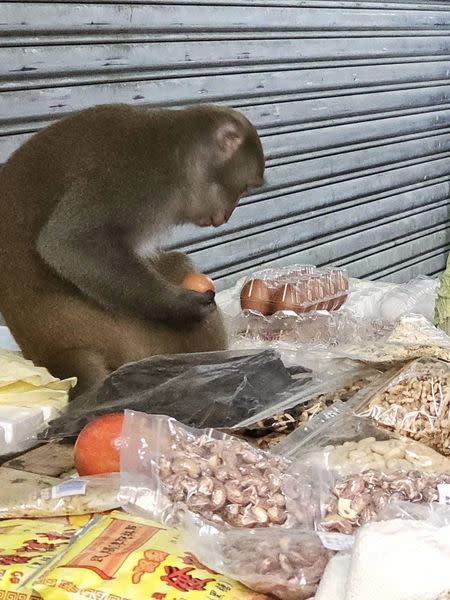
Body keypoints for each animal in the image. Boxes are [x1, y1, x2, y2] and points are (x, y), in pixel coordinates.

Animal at [0, 103, 264, 396]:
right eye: (243, 188)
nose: (227, 216)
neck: (175, 150)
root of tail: (46, 354)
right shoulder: (139, 179)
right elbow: (67, 243)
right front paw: (182, 305)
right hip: (124, 337)